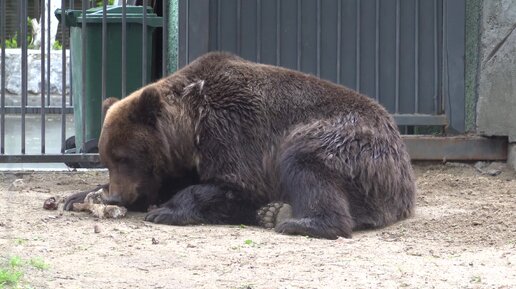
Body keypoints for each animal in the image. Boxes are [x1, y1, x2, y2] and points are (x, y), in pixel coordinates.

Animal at [65, 51, 416, 238]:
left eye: (125, 157)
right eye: (107, 159)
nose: (117, 195)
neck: (190, 131)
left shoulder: (235, 131)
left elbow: (237, 185)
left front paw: (165, 210)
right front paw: (77, 196)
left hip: (341, 137)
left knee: (304, 162)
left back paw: (297, 220)